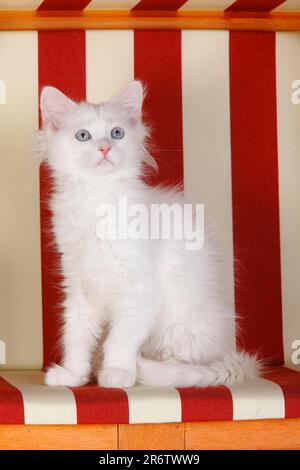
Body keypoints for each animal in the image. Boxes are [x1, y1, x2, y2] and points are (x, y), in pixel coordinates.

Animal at [40, 81, 260, 390]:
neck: (97, 200)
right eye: (83, 136)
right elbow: (76, 335)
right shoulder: (78, 286)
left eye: (117, 133)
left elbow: (120, 339)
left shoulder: (139, 289)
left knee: (183, 363)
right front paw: (74, 374)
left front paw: (117, 372)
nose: (105, 147)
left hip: (184, 331)